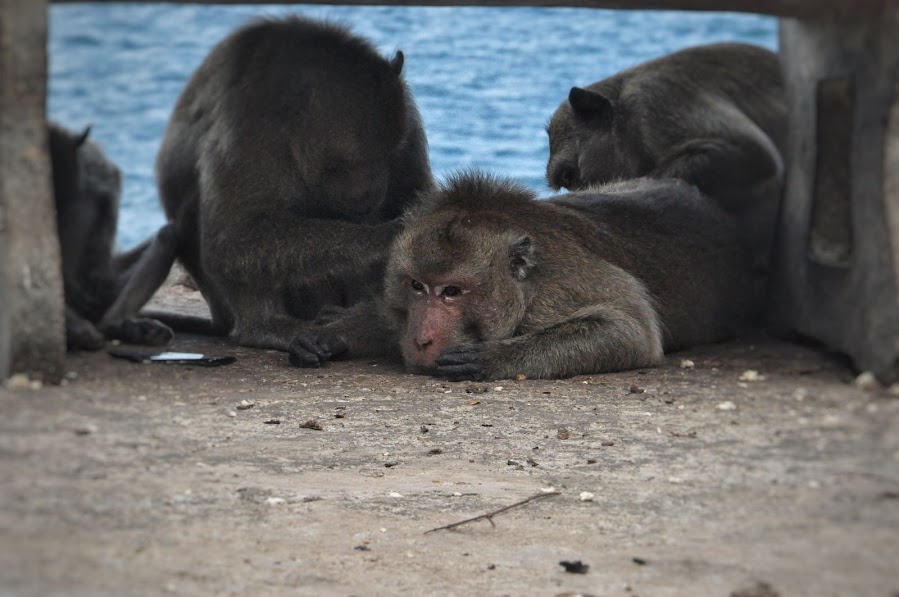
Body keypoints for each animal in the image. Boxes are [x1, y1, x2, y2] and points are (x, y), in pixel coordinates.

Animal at [153, 15, 434, 350]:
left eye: (387, 155)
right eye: (343, 165)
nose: (372, 190)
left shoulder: (406, 112)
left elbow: (415, 189)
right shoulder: (248, 129)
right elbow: (233, 238)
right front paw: (386, 236)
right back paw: (265, 328)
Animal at [288, 170, 768, 380]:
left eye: (452, 292)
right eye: (418, 286)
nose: (422, 339)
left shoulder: (563, 286)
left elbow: (631, 331)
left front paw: (494, 358)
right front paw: (330, 333)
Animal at [544, 40, 784, 264]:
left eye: (568, 177)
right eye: (567, 183)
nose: (578, 195)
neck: (627, 121)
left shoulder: (653, 103)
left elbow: (755, 155)